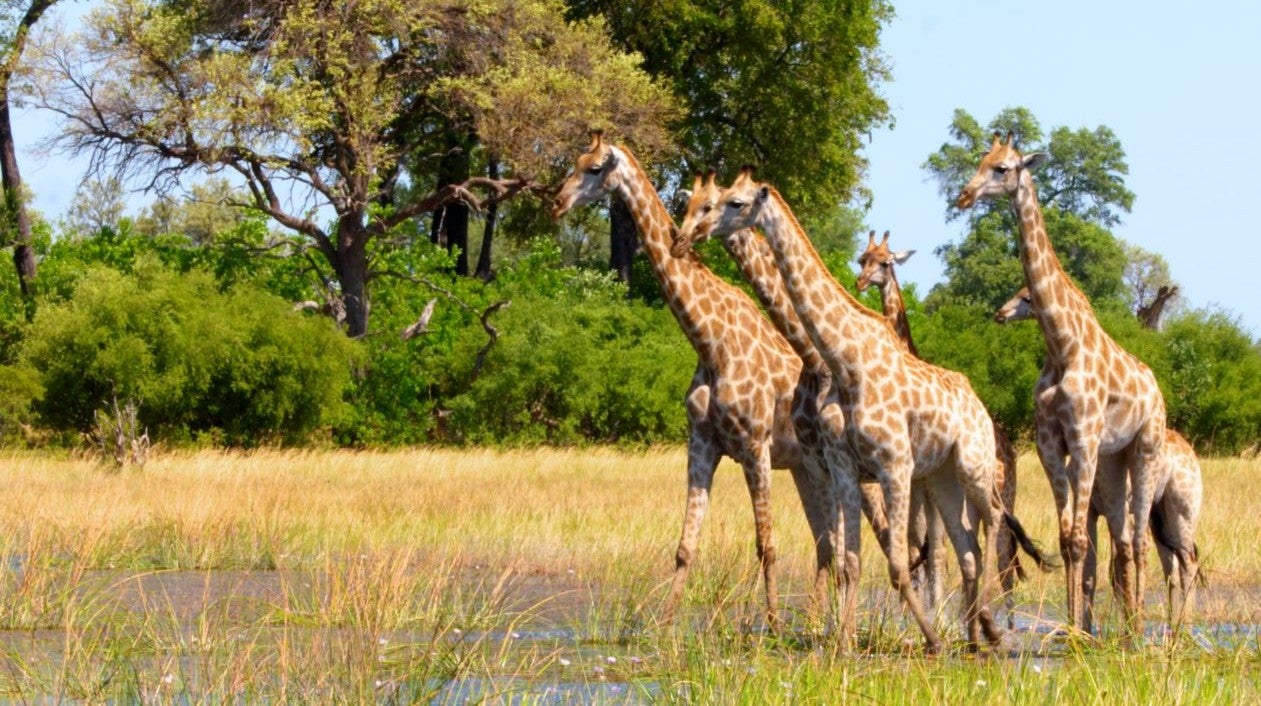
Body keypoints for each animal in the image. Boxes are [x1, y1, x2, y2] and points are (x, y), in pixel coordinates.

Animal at [554, 134, 832, 630]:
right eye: (576, 162)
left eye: (594, 168)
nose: (557, 202)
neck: (710, 342)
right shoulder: (701, 443)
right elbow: (685, 546)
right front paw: (664, 625)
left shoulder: (755, 447)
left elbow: (767, 545)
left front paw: (773, 625)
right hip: (805, 467)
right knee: (827, 541)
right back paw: (818, 620)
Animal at [685, 167, 1008, 655]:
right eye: (712, 199)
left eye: (734, 203)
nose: (692, 232)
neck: (845, 360)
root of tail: (979, 403)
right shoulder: (843, 469)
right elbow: (852, 560)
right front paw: (843, 643)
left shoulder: (895, 466)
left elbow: (896, 563)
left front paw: (931, 641)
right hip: (942, 476)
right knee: (967, 549)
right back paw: (973, 638)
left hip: (974, 465)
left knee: (993, 525)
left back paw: (989, 631)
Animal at [852, 229, 1039, 620]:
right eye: (862, 259)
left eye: (886, 262)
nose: (860, 282)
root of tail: (1010, 450)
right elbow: (921, 547)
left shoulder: (922, 485)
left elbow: (931, 550)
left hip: (1000, 491)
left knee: (1003, 552)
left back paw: (1004, 618)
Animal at [958, 132, 1165, 635]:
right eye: (981, 160)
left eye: (1003, 168)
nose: (965, 196)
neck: (1061, 344)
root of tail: (1155, 387)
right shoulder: (1050, 443)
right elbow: (1068, 535)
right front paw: (1072, 629)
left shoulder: (1084, 438)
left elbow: (1076, 540)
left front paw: (1077, 633)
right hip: (1115, 458)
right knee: (1122, 538)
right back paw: (1126, 624)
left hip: (1146, 446)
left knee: (1140, 538)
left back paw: (1140, 632)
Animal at [998, 287, 1205, 627]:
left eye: (1027, 298)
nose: (1000, 314)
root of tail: (1192, 455)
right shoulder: (1096, 511)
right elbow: (1093, 573)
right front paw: (1087, 628)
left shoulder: (1112, 508)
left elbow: (1114, 569)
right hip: (1159, 515)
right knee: (1172, 564)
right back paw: (1172, 626)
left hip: (1181, 508)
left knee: (1187, 560)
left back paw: (1182, 627)